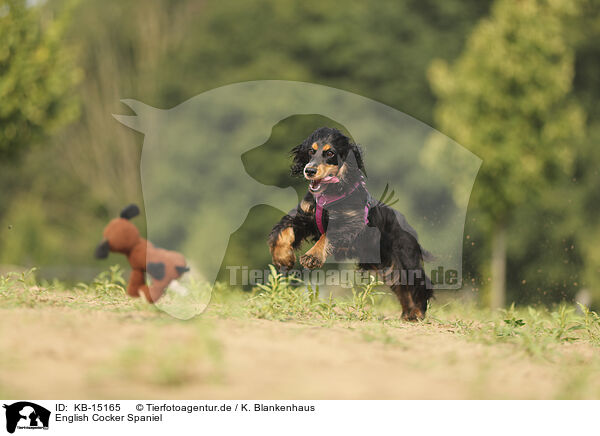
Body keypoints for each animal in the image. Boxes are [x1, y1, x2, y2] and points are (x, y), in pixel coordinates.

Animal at [270, 126, 434, 320]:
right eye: (311, 151)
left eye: (330, 153)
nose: (309, 170)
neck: (331, 193)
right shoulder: (304, 218)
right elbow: (283, 232)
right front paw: (283, 257)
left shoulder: (349, 222)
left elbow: (327, 236)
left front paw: (312, 256)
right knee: (401, 285)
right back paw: (409, 313)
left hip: (404, 258)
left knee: (418, 283)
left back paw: (417, 312)